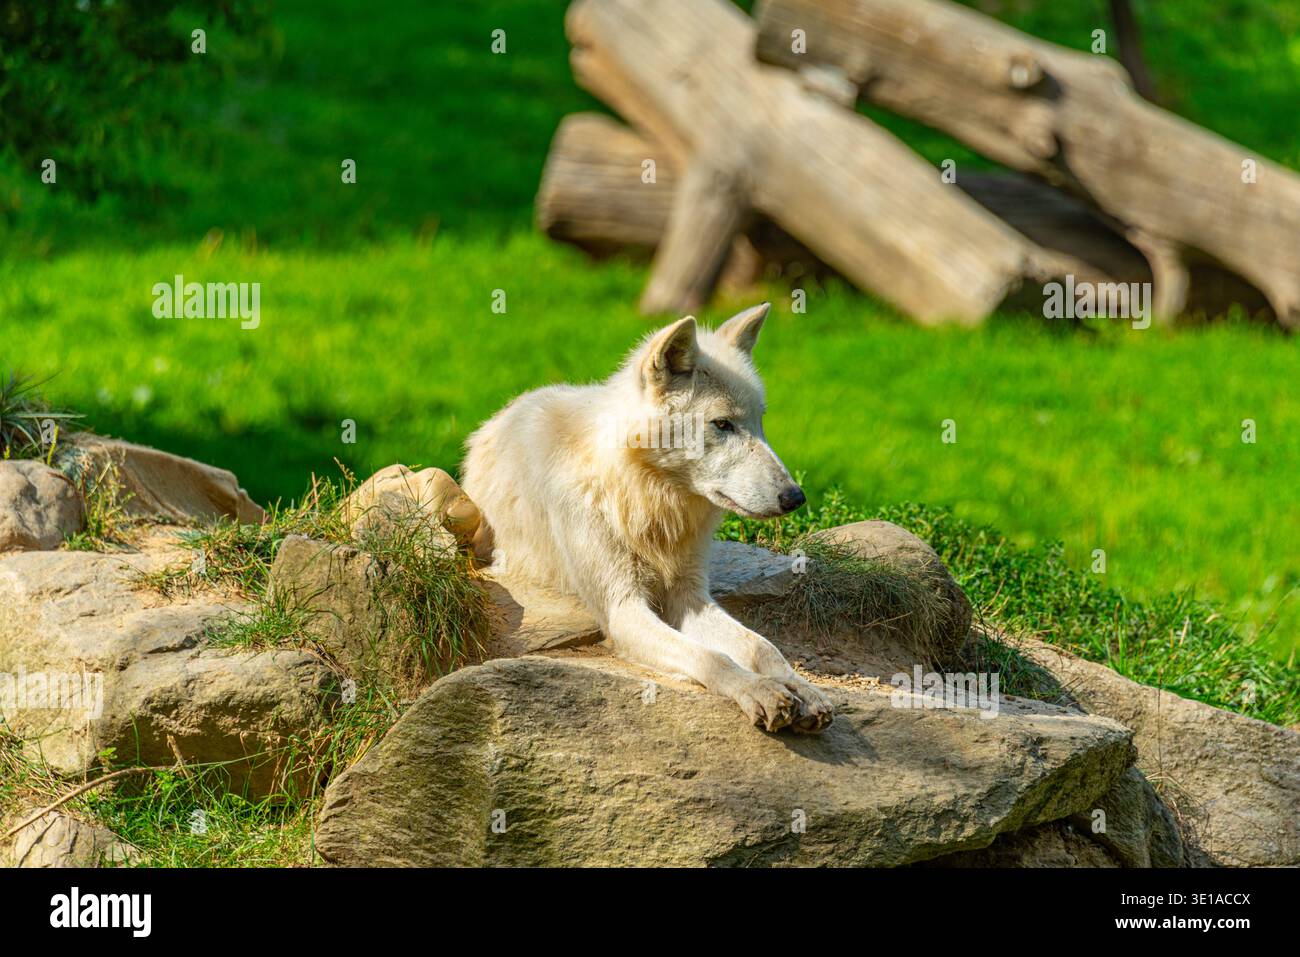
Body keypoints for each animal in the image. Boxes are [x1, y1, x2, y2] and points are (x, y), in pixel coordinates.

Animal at [462, 303, 833, 732]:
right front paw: (759, 690)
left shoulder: (690, 598)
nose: (795, 497)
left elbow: (762, 646)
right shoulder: (623, 610)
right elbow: (713, 658)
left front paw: (800, 687)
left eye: (760, 421)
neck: (650, 500)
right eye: (722, 424)